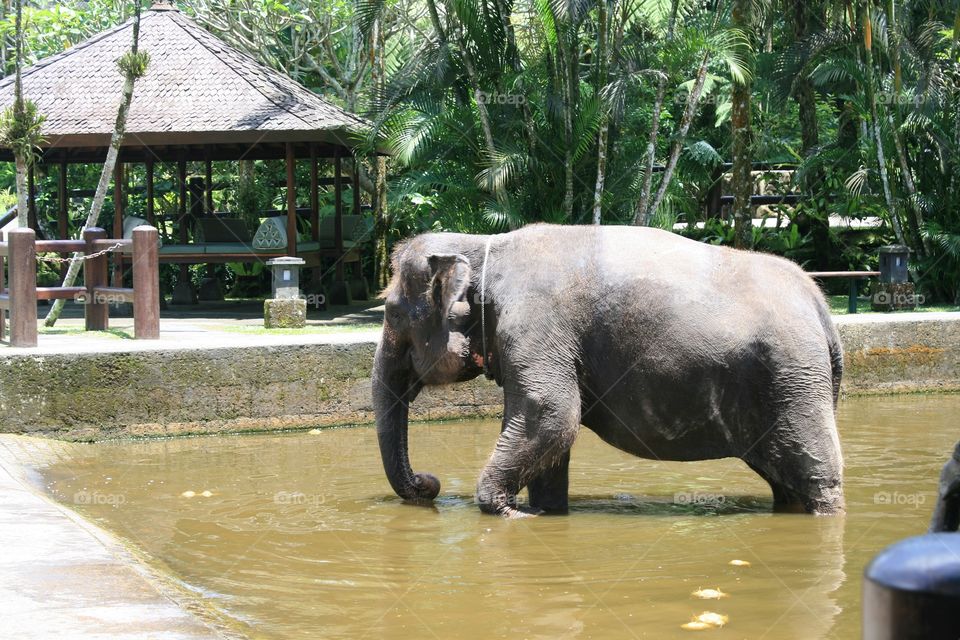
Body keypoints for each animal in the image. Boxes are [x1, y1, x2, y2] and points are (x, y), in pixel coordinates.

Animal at [372, 224, 845, 518]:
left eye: (392, 313)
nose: (428, 482)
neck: (484, 245)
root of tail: (819, 303)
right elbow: (549, 431)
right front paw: (542, 511)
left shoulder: (536, 325)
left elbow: (551, 413)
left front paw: (507, 510)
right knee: (784, 479)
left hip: (794, 377)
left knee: (816, 473)